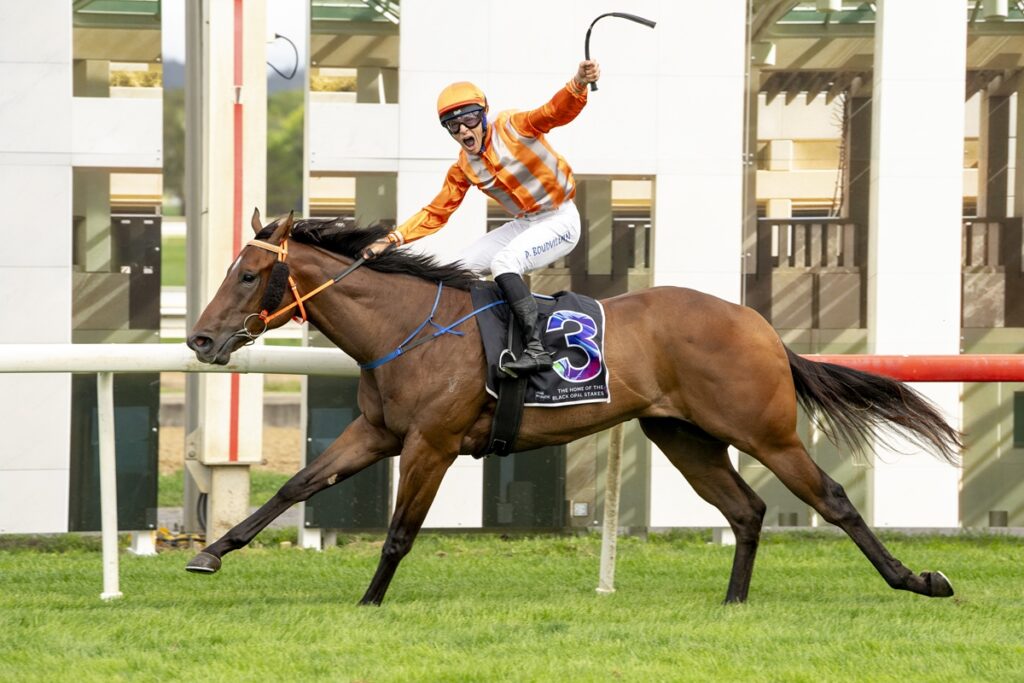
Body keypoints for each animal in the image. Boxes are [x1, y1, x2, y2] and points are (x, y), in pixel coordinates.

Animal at [184, 209, 962, 605]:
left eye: (248, 274)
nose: (199, 338)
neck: (405, 326)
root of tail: (761, 326)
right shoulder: (376, 432)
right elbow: (296, 485)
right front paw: (211, 552)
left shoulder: (432, 443)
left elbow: (401, 531)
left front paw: (369, 602)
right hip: (683, 435)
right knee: (746, 510)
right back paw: (733, 601)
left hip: (764, 431)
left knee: (832, 499)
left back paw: (917, 579)